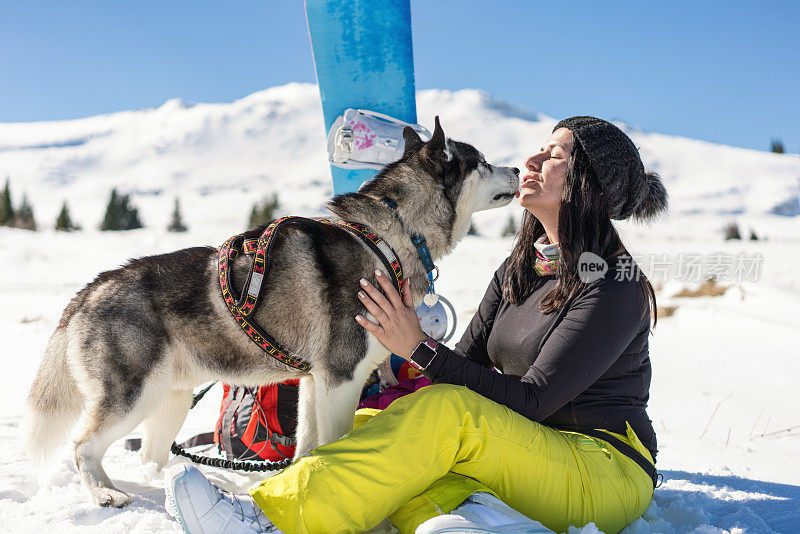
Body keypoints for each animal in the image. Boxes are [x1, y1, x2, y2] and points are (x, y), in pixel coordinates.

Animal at [23, 118, 520, 510]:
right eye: (482, 161)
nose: (518, 168)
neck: (388, 238)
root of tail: (91, 288)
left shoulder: (314, 382)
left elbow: (310, 448)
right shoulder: (341, 378)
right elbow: (334, 446)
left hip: (171, 399)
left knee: (148, 455)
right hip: (133, 395)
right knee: (83, 445)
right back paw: (104, 493)